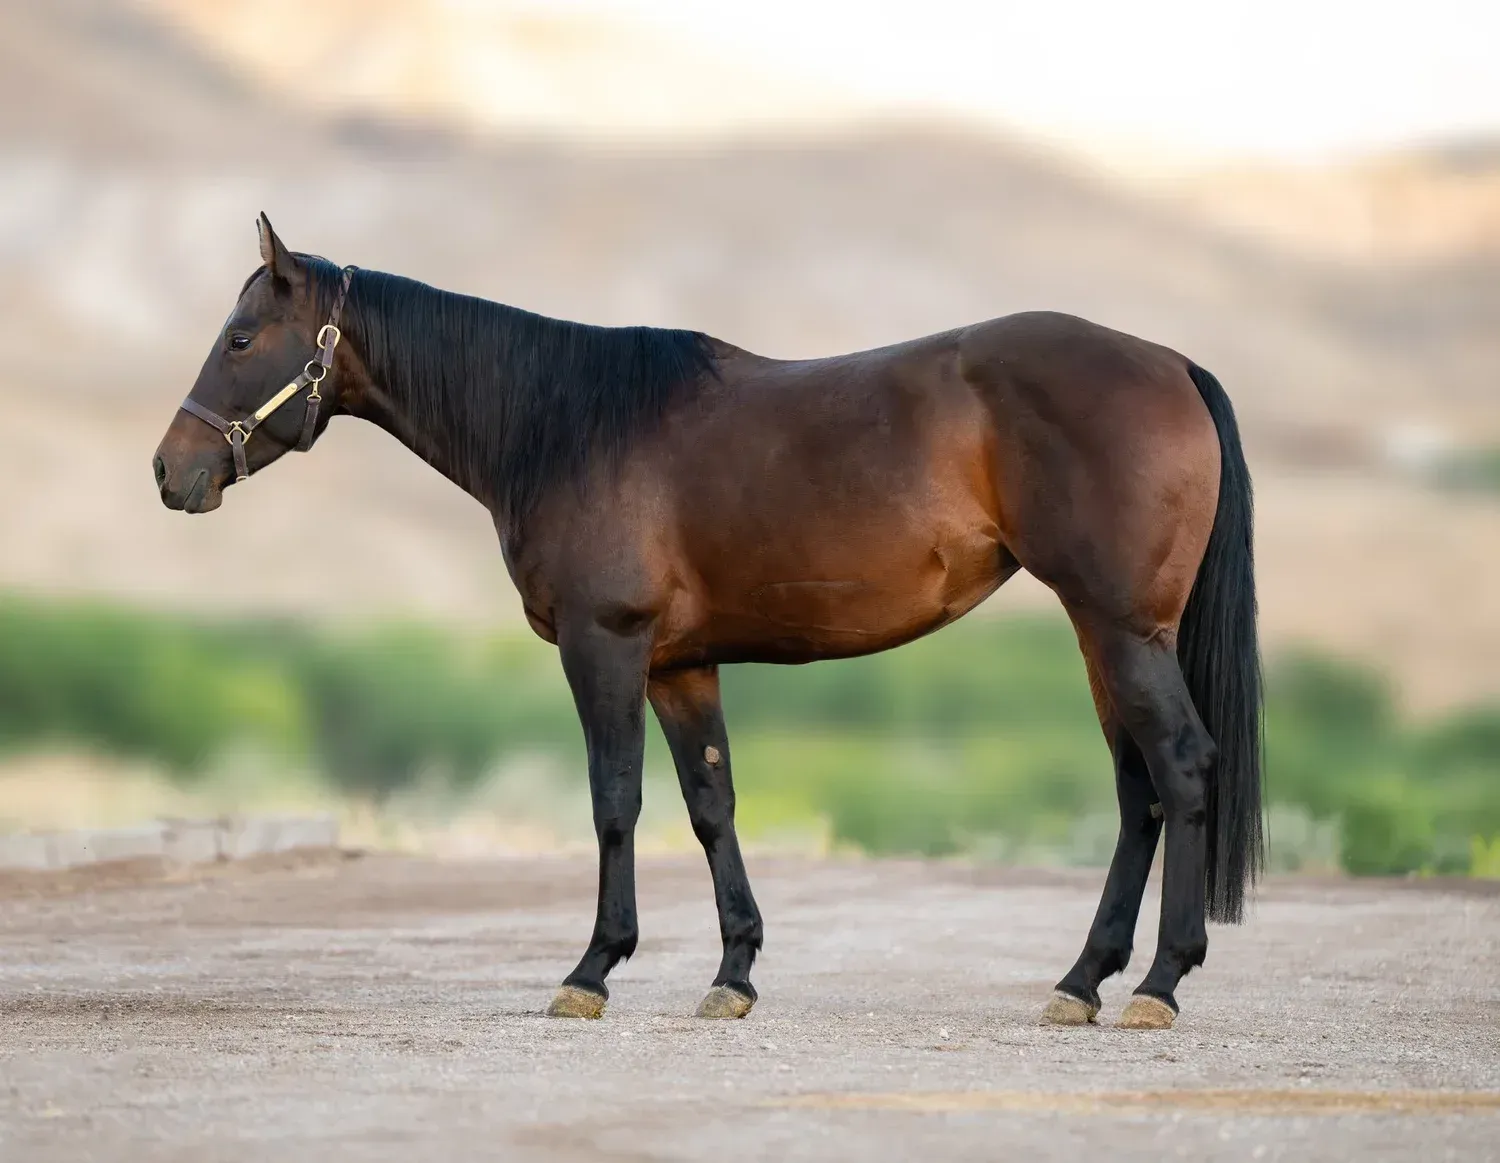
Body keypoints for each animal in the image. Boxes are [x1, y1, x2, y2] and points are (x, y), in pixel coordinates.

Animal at [153, 214, 1262, 1030]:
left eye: (241, 338)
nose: (172, 470)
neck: (566, 424)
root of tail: (1172, 364)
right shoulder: (680, 666)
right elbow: (709, 803)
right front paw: (733, 972)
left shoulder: (606, 645)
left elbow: (615, 800)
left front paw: (592, 969)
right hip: (1103, 635)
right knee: (1137, 788)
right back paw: (1083, 980)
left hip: (1120, 627)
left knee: (1180, 765)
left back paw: (1159, 982)